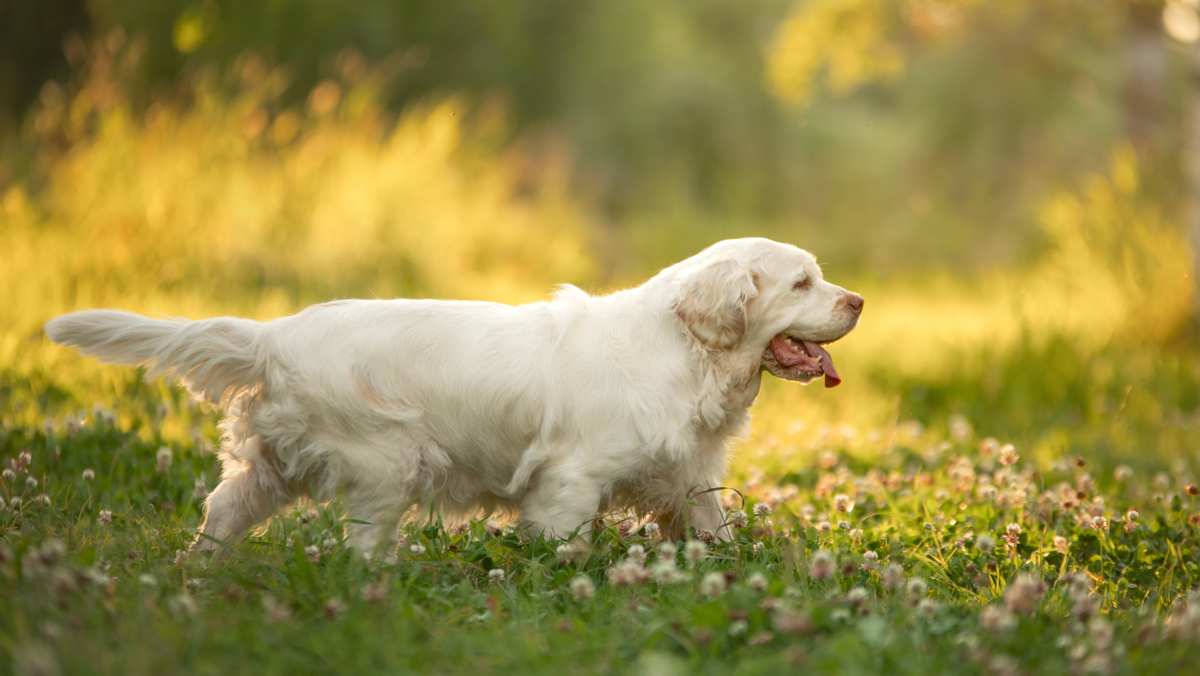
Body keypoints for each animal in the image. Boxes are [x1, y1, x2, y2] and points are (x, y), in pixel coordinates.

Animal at [42, 237, 859, 554]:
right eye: (801, 283)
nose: (858, 301)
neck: (687, 352)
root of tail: (277, 335)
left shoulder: (688, 477)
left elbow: (714, 529)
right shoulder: (571, 479)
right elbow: (561, 544)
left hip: (269, 467)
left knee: (221, 512)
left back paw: (198, 572)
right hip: (385, 465)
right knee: (361, 546)